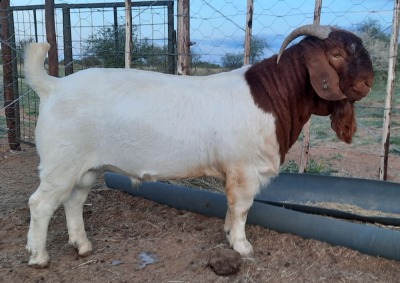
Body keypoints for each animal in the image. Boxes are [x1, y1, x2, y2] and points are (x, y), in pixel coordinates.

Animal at [25, 25, 374, 268]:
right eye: (336, 54)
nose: (369, 82)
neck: (272, 97)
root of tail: (54, 86)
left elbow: (232, 207)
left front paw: (229, 234)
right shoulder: (244, 168)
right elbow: (242, 206)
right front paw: (242, 246)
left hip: (85, 167)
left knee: (73, 200)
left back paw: (82, 245)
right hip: (60, 163)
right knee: (40, 203)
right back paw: (39, 256)